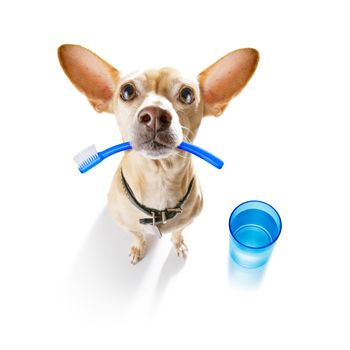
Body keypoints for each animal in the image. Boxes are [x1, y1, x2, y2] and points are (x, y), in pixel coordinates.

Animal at [58, 43, 260, 264]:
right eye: (127, 91)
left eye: (187, 94)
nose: (154, 114)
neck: (159, 178)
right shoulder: (127, 225)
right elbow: (137, 235)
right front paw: (138, 248)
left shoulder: (187, 222)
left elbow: (178, 232)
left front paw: (179, 244)